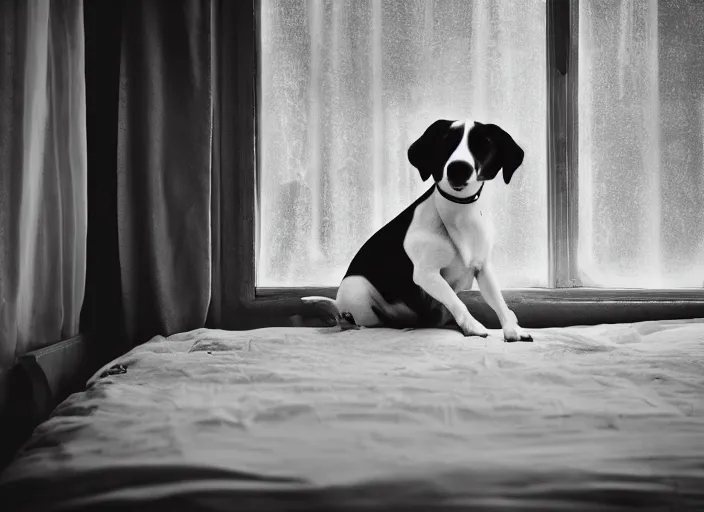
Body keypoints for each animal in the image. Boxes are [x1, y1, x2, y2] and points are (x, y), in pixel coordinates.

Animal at [304, 119, 532, 344]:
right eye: (445, 141)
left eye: (483, 143)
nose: (458, 168)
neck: (460, 213)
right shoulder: (426, 274)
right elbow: (456, 300)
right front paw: (473, 326)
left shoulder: (483, 268)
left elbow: (499, 302)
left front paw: (512, 328)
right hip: (357, 289)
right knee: (361, 319)